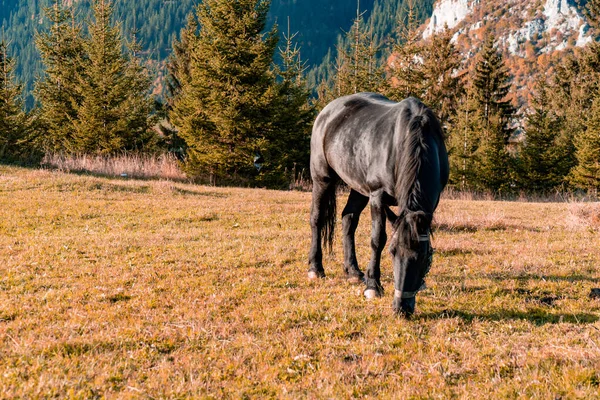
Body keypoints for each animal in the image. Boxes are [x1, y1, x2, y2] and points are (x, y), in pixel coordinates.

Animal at [310, 92, 446, 318]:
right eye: (392, 252)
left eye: (423, 257)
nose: (401, 308)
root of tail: (327, 111)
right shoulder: (378, 196)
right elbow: (377, 239)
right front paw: (373, 286)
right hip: (322, 178)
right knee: (317, 219)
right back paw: (315, 268)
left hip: (357, 188)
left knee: (348, 219)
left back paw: (353, 271)